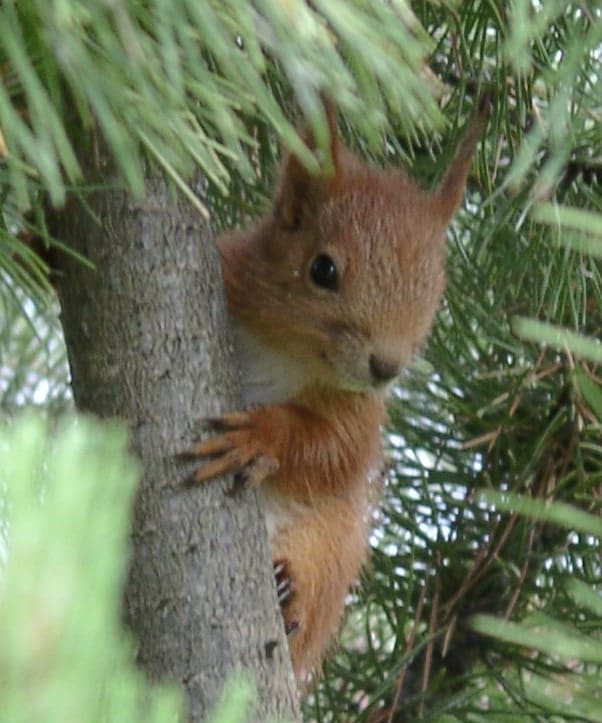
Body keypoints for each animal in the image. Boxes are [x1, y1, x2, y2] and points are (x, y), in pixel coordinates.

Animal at [187, 100, 488, 685]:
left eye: (435, 288)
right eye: (322, 269)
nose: (386, 366)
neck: (289, 348)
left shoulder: (359, 412)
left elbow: (336, 455)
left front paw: (262, 434)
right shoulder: (229, 274)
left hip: (332, 551)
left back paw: (288, 595)